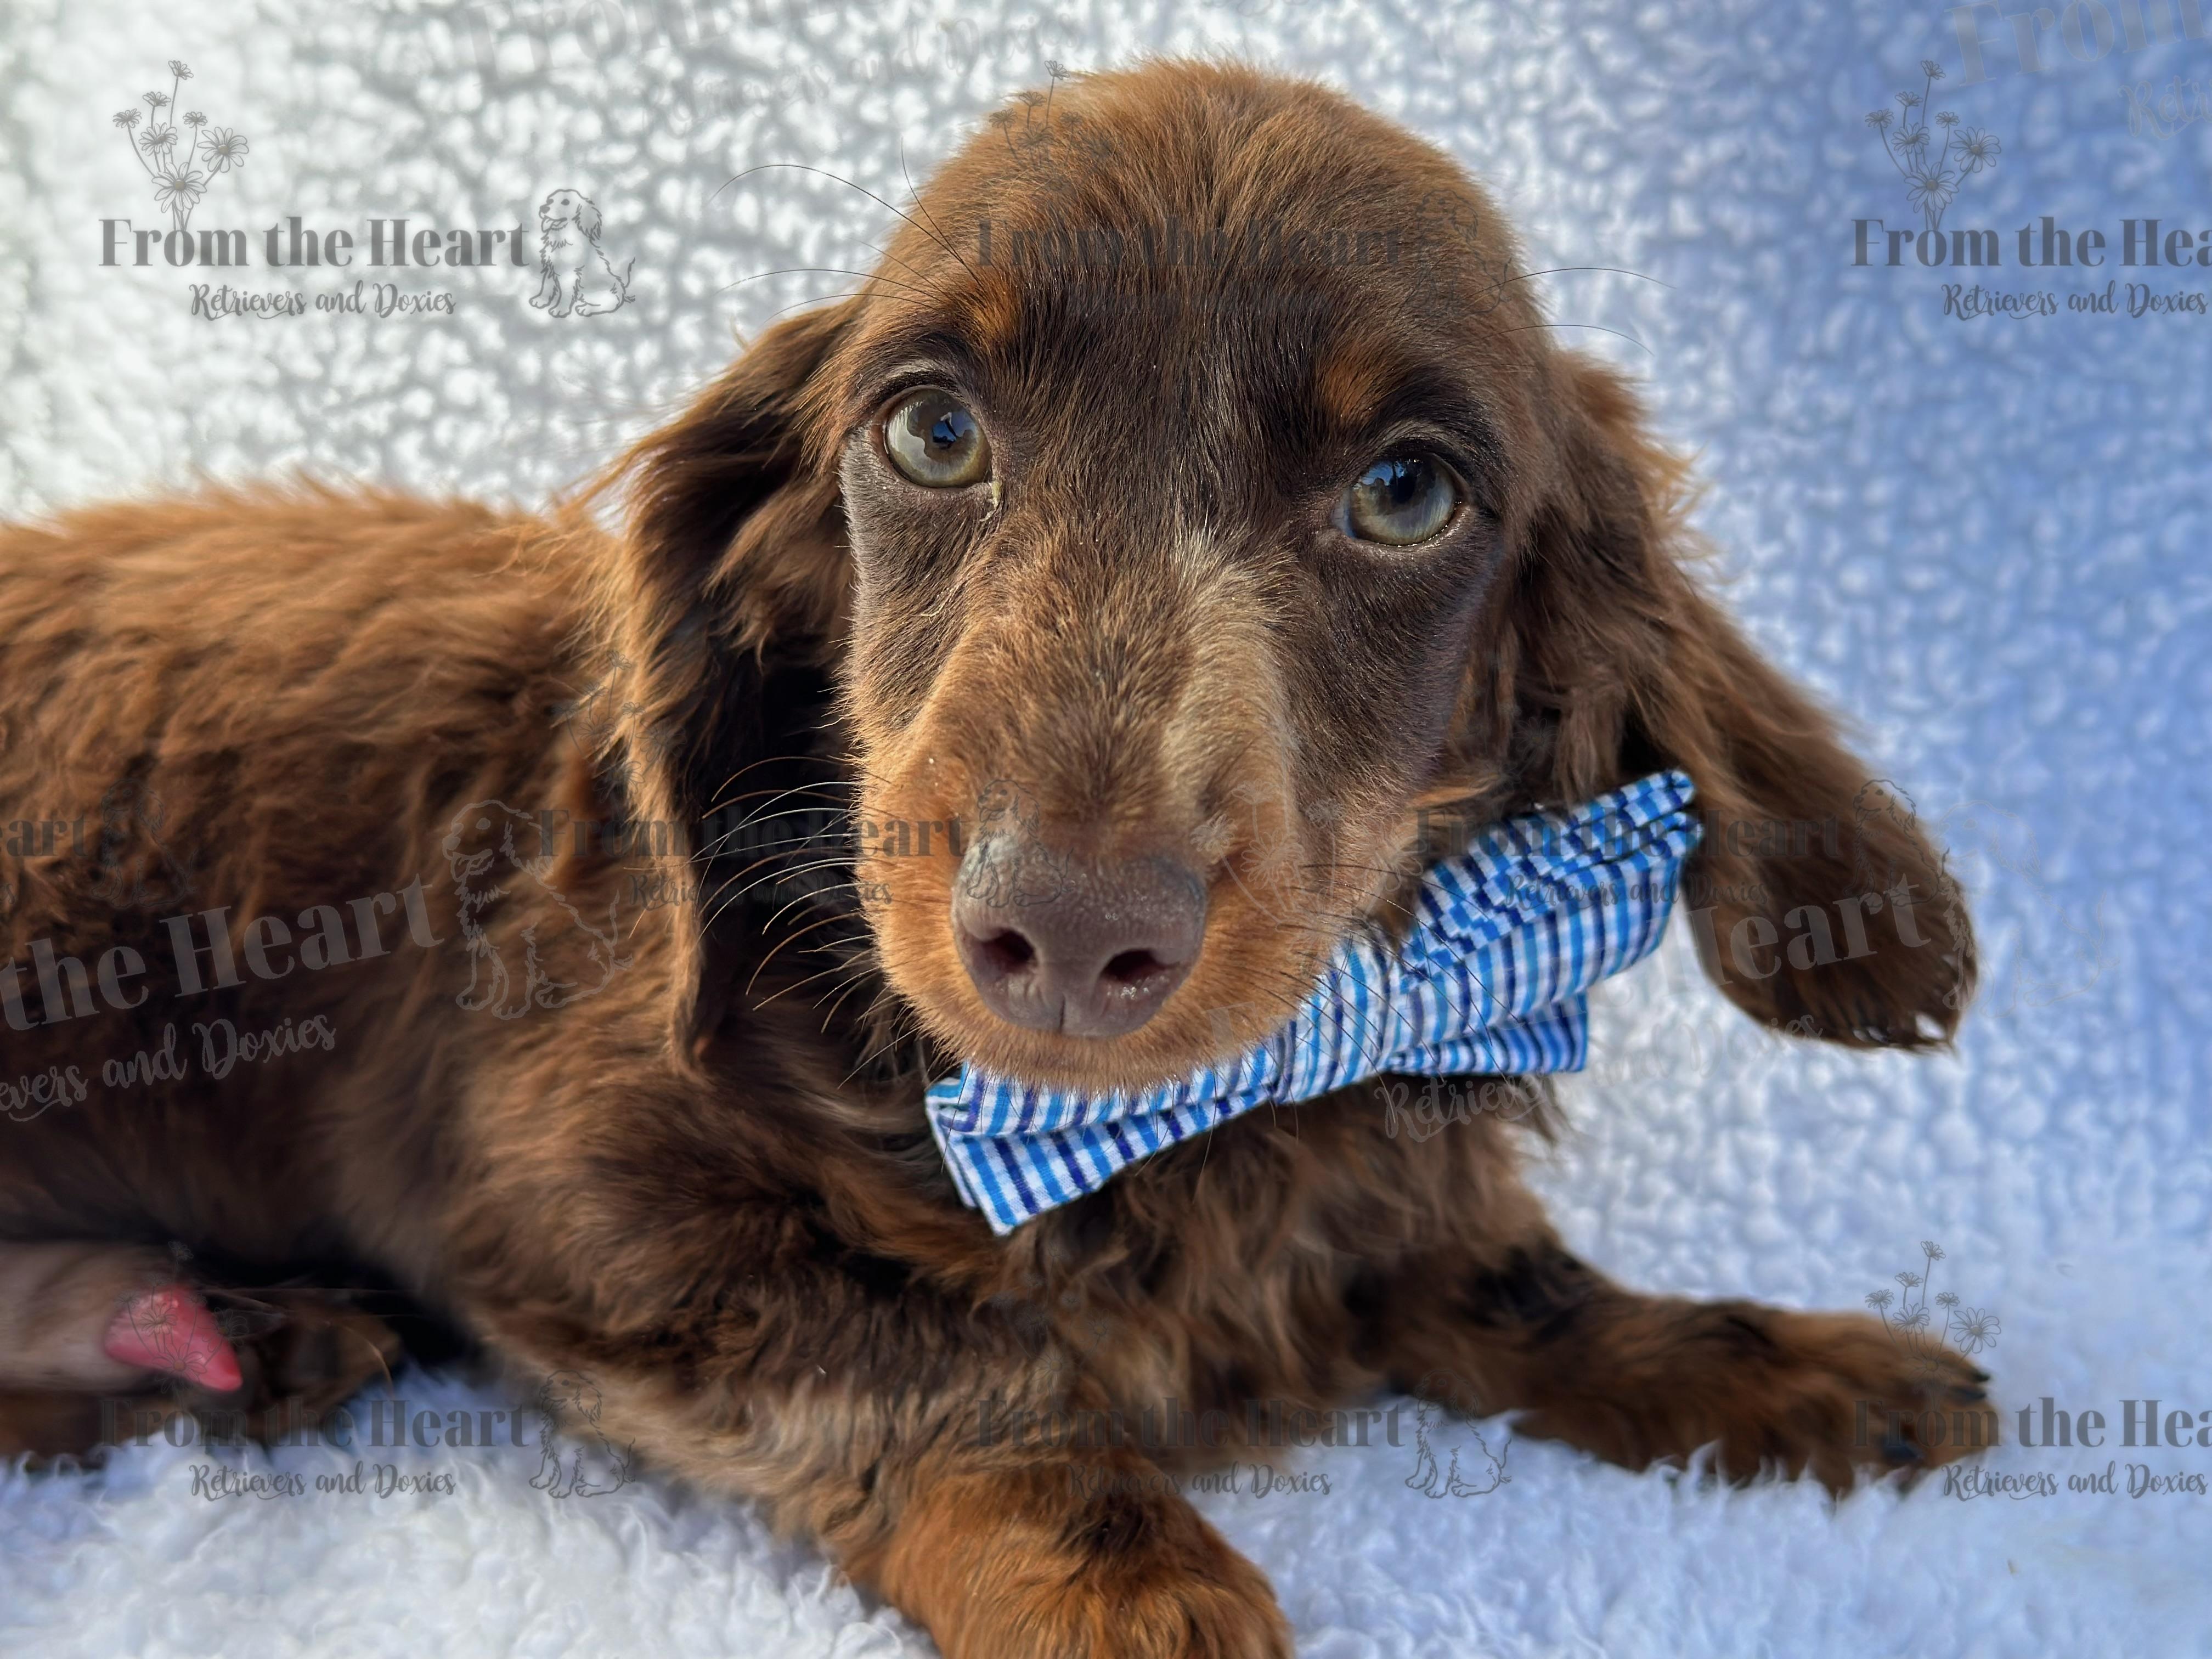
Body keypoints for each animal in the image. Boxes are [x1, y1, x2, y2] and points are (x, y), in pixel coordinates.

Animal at [530, 187, 633, 318]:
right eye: (550, 201)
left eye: (566, 202)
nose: (543, 209)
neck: (561, 239)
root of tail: (622, 290)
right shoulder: (550, 267)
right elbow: (546, 286)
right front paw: (540, 300)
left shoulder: (569, 273)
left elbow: (566, 294)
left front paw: (560, 310)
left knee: (611, 304)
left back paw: (585, 308)